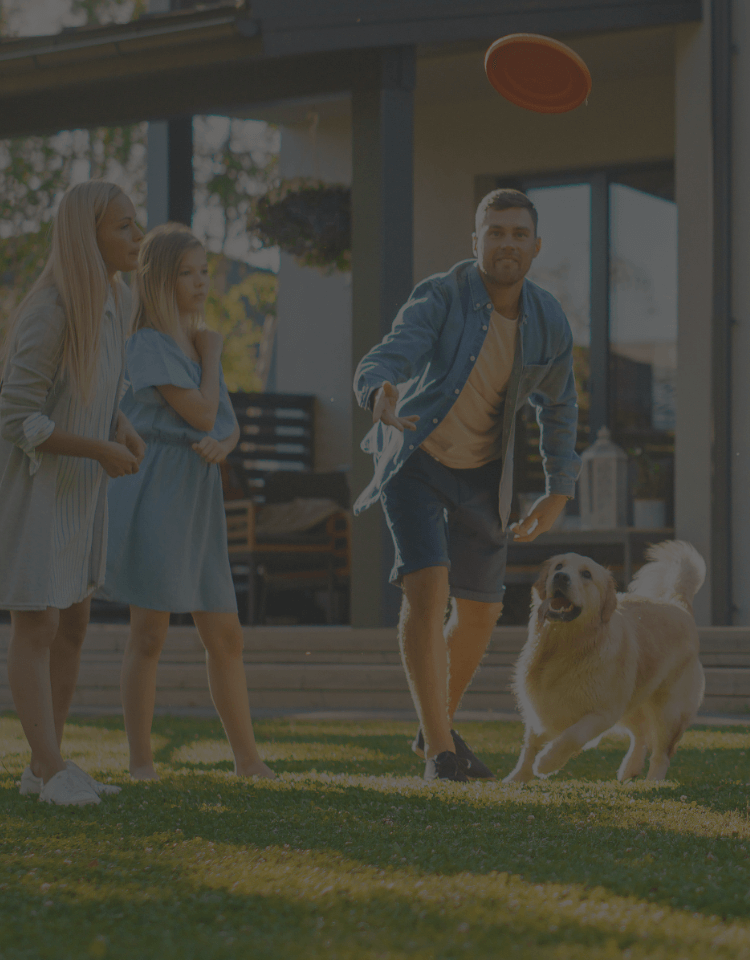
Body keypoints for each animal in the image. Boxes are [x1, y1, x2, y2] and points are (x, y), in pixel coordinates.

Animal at [508, 540, 708, 780]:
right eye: (558, 566)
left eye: (586, 574)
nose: (561, 577)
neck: (565, 646)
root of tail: (678, 604)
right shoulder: (538, 705)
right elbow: (529, 747)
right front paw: (515, 779)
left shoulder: (603, 712)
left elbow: (572, 735)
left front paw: (546, 762)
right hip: (631, 701)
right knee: (640, 732)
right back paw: (630, 768)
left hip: (668, 711)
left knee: (662, 753)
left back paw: (652, 782)